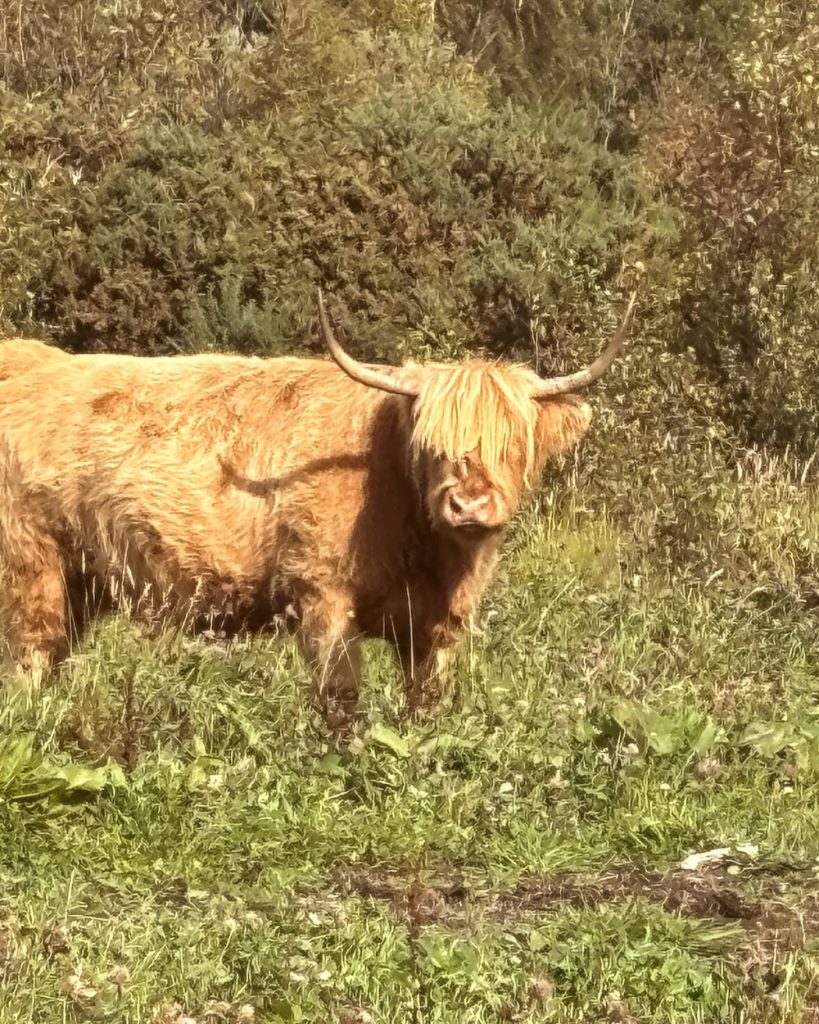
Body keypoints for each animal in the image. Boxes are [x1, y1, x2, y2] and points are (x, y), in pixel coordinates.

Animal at [0, 290, 636, 728]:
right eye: (431, 445)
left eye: (512, 444)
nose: (468, 503)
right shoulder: (322, 594)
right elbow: (341, 694)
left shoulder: (438, 623)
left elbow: (428, 698)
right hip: (30, 563)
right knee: (31, 650)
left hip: (82, 579)